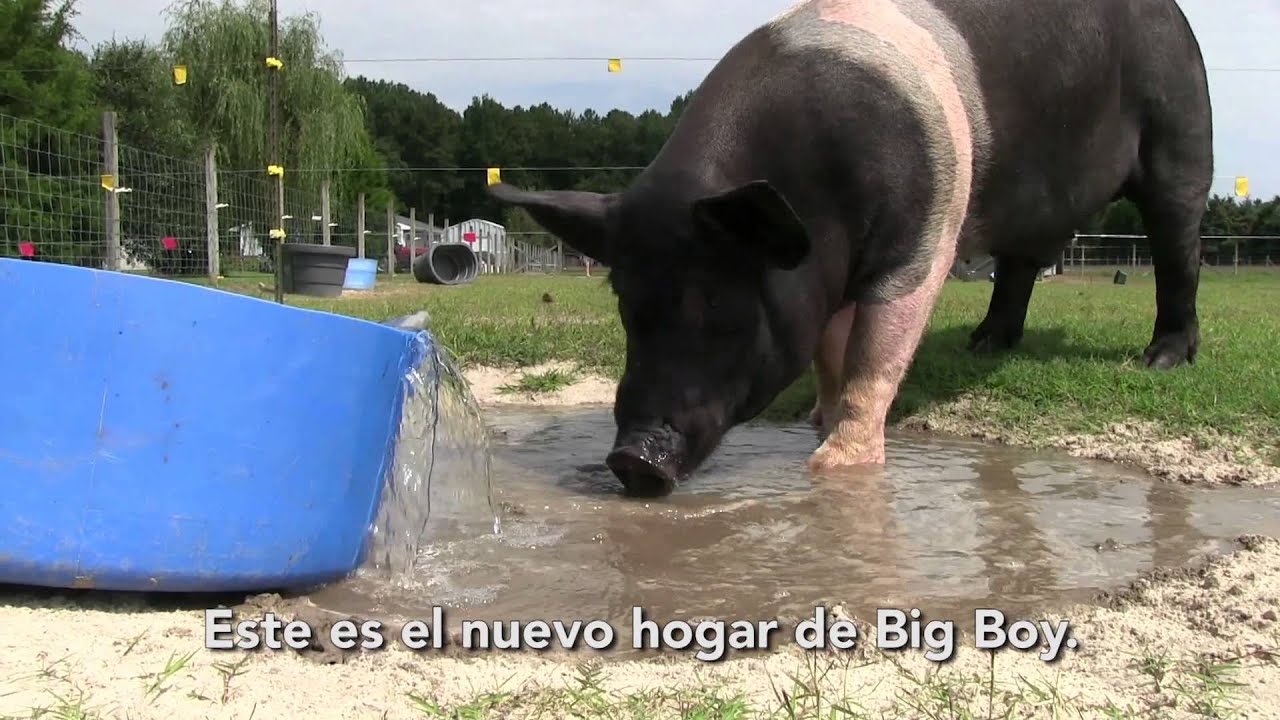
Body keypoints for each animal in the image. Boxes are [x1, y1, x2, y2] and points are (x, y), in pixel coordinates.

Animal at [487, 0, 1213, 497]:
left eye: (719, 305)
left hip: (1181, 123)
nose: (629, 459)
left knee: (1179, 243)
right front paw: (817, 417)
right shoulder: (828, 275)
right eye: (626, 307)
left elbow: (875, 352)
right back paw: (985, 346)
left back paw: (1160, 361)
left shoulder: (921, 241)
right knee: (1022, 265)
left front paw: (833, 465)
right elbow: (830, 351)